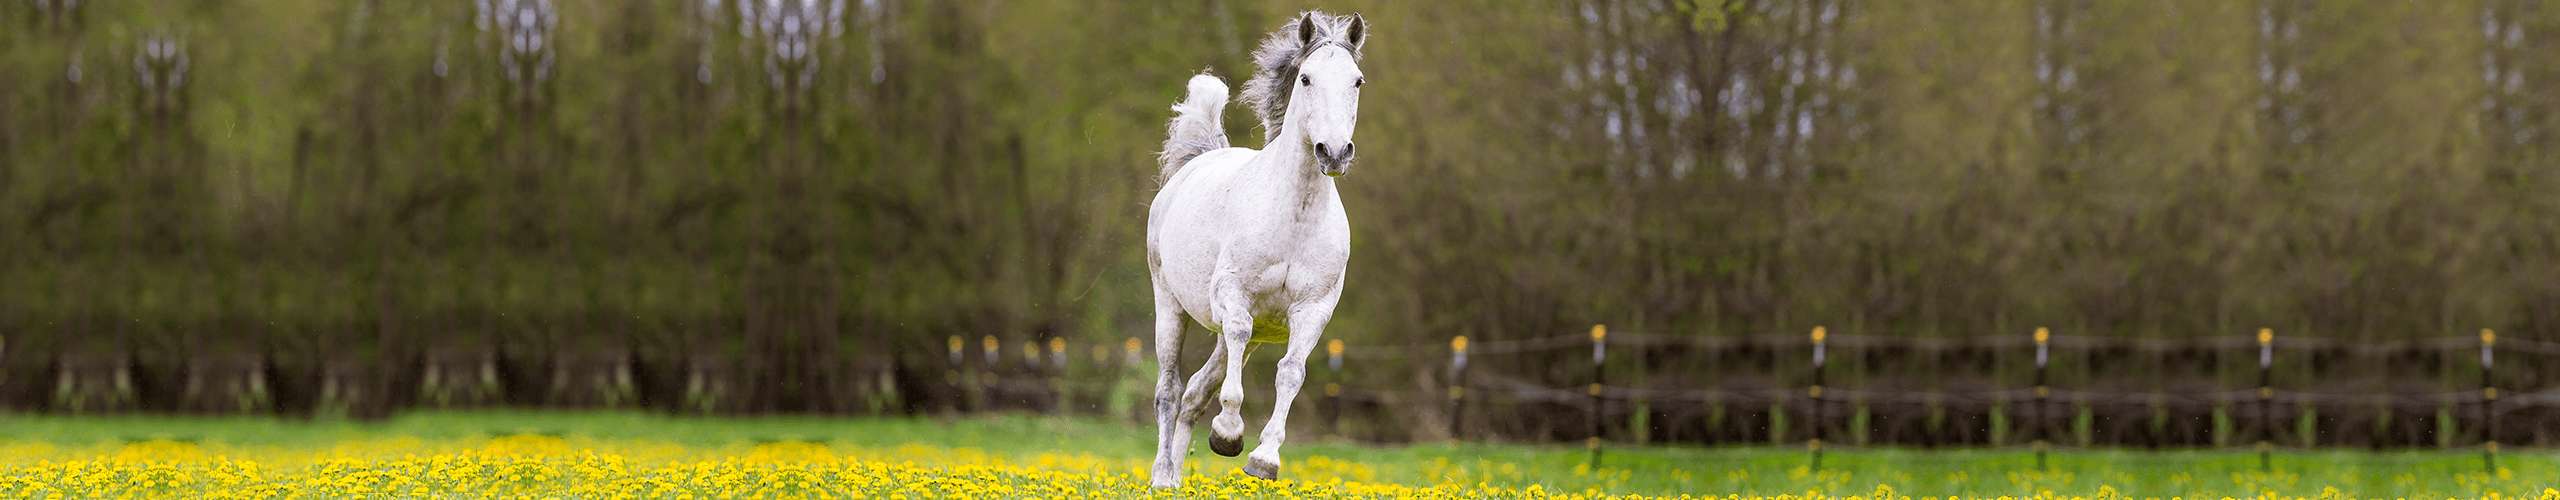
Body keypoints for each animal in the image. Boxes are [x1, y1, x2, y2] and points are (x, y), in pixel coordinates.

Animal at [1152, 11, 1372, 487]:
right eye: (1306, 78)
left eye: (1357, 81)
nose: (1334, 153)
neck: (1294, 218)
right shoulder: (1233, 296)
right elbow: (1237, 335)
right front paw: (1228, 434)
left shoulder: (1312, 311)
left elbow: (1291, 372)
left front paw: (1263, 459)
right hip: (1169, 304)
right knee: (1170, 388)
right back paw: (1161, 476)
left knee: (1195, 391)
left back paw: (1177, 478)